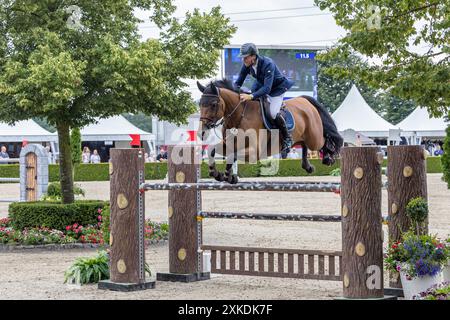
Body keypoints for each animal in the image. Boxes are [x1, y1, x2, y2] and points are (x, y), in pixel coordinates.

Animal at [195, 79, 342, 184]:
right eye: (200, 104)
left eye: (213, 104)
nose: (201, 132)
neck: (239, 115)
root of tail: (305, 100)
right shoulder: (229, 144)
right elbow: (212, 150)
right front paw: (216, 173)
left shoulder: (255, 151)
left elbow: (233, 155)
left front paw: (227, 176)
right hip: (302, 136)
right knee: (303, 144)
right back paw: (307, 166)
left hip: (314, 138)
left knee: (324, 140)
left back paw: (329, 157)